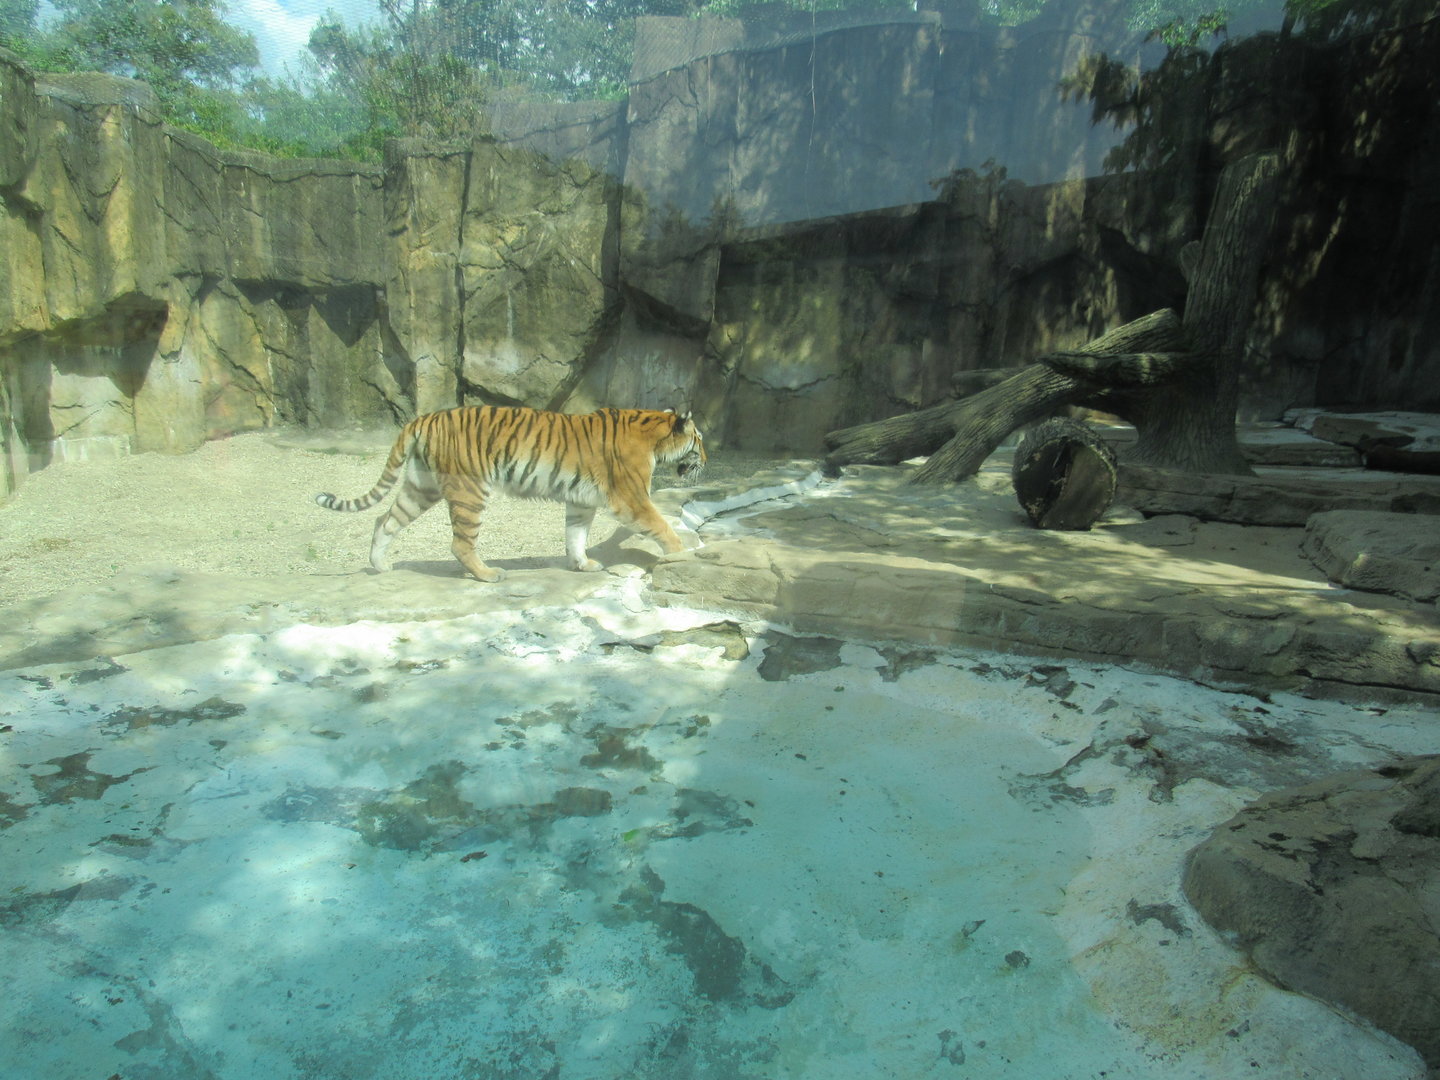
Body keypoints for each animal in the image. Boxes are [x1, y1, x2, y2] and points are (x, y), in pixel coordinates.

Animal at [314, 405, 706, 583]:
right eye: (699, 440)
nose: (706, 459)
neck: (653, 435)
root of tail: (424, 417)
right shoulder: (631, 498)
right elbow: (661, 525)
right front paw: (681, 554)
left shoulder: (580, 502)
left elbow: (575, 535)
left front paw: (582, 564)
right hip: (469, 490)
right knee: (460, 543)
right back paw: (488, 574)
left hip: (420, 487)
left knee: (385, 520)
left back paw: (380, 565)